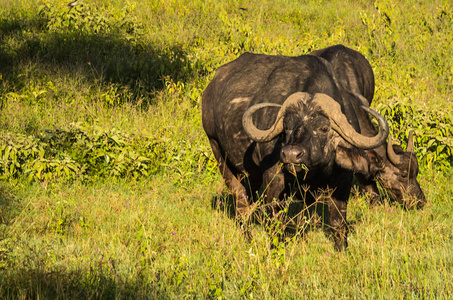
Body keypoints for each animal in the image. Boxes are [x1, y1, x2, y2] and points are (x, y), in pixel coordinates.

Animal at [202, 52, 388, 251]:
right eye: (287, 127)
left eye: (323, 128)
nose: (291, 155)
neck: (315, 173)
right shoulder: (274, 182)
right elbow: (276, 223)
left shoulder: (342, 181)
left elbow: (338, 222)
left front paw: (342, 249)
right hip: (219, 153)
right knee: (241, 203)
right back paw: (248, 240)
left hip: (250, 174)